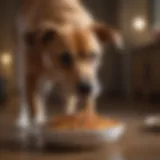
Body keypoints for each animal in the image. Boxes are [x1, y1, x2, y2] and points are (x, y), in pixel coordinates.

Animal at [15, 0, 122, 128]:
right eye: (65, 57)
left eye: (93, 55)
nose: (86, 88)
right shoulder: (31, 76)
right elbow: (34, 106)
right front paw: (37, 124)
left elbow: (78, 107)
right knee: (26, 98)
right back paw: (24, 120)